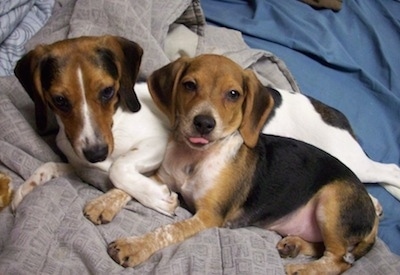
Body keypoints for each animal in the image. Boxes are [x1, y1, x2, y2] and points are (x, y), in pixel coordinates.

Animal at [9, 36, 178, 220]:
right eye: (59, 100)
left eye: (108, 91)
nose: (96, 155)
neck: (115, 123)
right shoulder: (81, 166)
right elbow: (49, 165)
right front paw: (25, 188)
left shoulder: (158, 141)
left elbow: (116, 167)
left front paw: (158, 197)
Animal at [106, 54, 382, 274]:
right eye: (189, 85)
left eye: (233, 94)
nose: (204, 123)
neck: (194, 158)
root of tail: (371, 209)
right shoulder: (161, 178)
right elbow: (126, 184)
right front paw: (103, 205)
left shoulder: (208, 216)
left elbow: (168, 230)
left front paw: (134, 246)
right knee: (324, 248)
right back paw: (294, 245)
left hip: (332, 204)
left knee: (339, 260)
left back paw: (301, 269)